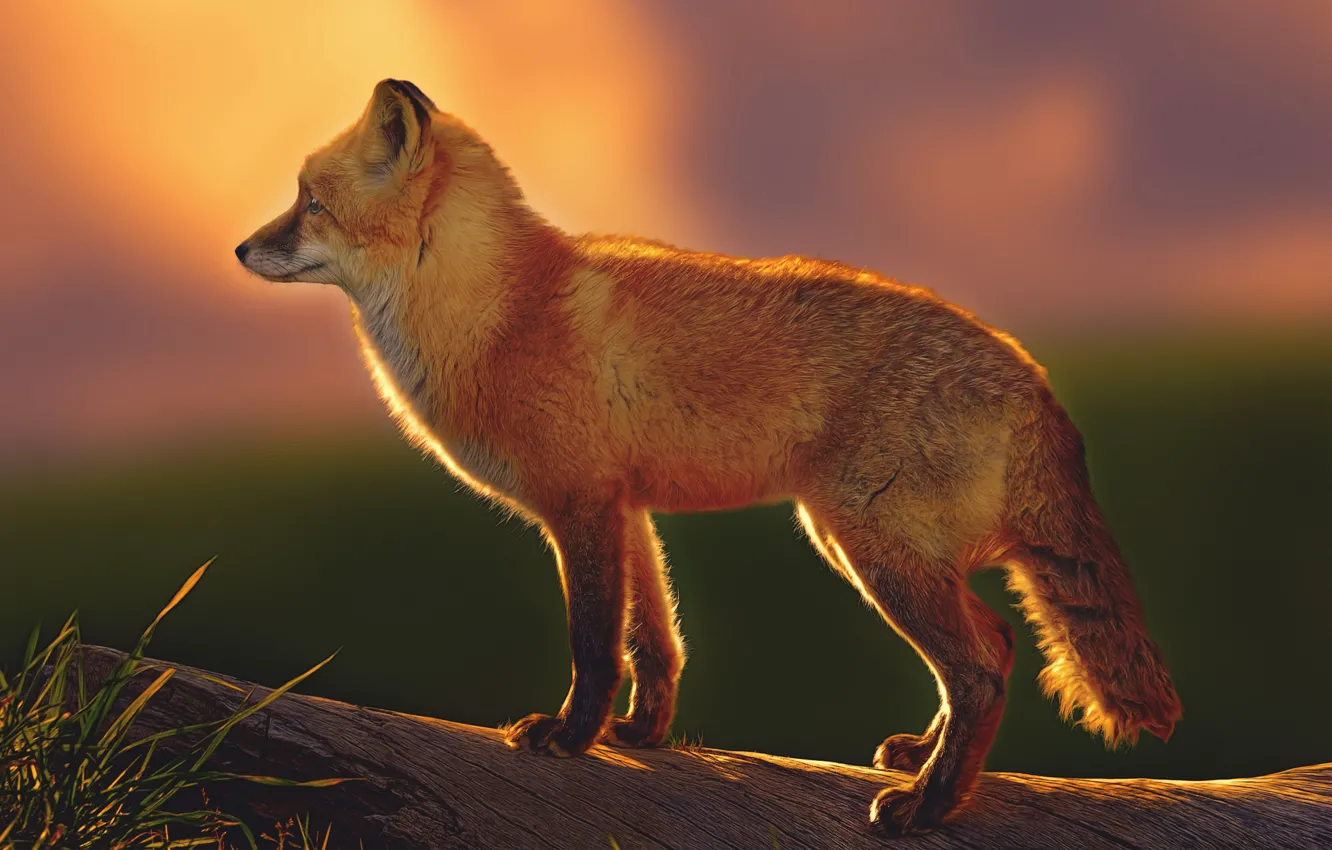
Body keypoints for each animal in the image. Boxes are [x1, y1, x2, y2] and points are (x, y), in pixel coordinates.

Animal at [237, 79, 1181, 836]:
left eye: (309, 203)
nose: (241, 249)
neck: (496, 314)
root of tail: (1031, 372)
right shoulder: (628, 509)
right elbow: (655, 643)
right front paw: (641, 736)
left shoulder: (580, 506)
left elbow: (593, 643)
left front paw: (569, 740)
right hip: (876, 550)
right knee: (1000, 646)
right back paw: (925, 759)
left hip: (871, 550)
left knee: (981, 668)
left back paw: (927, 806)